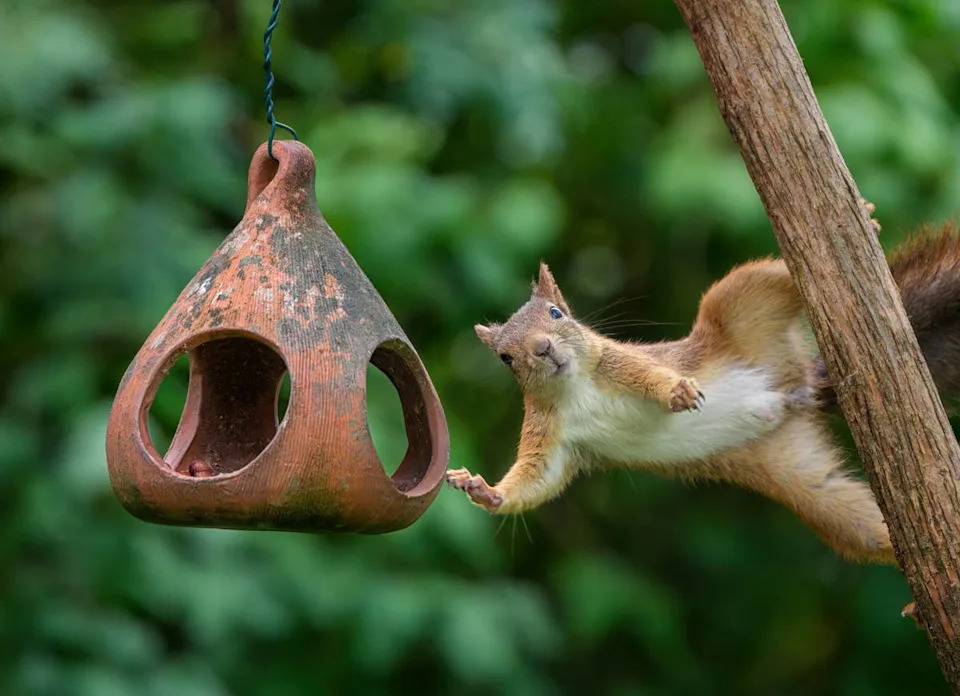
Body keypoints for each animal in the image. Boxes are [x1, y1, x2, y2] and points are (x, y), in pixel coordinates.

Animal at [447, 217, 960, 565]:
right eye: (505, 357)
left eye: (556, 313)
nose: (543, 348)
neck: (574, 389)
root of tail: (797, 388)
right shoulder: (550, 436)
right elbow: (537, 479)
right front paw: (484, 491)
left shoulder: (622, 362)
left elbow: (652, 377)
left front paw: (676, 394)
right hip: (798, 476)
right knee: (853, 521)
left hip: (740, 302)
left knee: (777, 279)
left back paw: (864, 221)